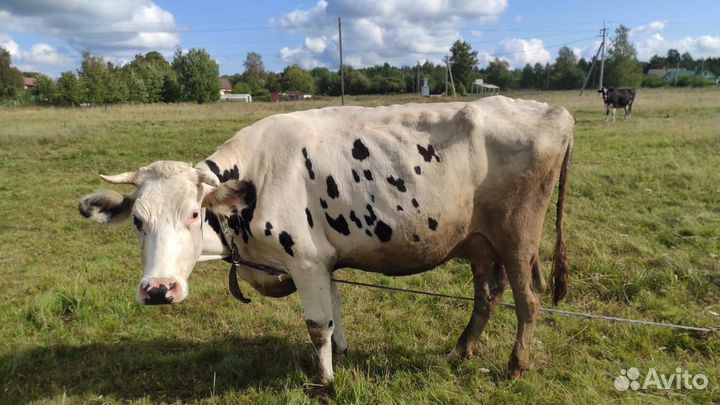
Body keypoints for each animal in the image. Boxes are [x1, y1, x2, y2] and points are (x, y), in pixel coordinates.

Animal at [78, 96, 574, 385]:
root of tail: (555, 111)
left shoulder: (306, 261)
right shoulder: (324, 262)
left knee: (528, 298)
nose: (159, 289)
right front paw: (343, 355)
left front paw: (326, 383)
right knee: (488, 294)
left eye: (194, 213)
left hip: (517, 235)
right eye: (137, 221)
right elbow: (335, 313)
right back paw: (461, 351)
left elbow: (317, 325)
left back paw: (513, 367)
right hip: (480, 241)